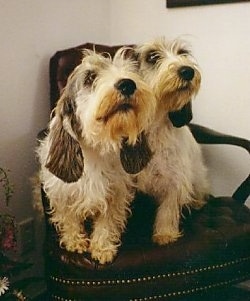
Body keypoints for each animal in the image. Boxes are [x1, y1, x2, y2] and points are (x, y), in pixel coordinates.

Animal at [37, 47, 155, 262]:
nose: (128, 84)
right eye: (90, 77)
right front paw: (74, 241)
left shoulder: (115, 194)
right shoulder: (61, 192)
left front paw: (102, 248)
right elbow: (68, 218)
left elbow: (107, 222)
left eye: (130, 70)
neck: (96, 150)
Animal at [134, 37, 210, 244]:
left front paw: (165, 234)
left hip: (198, 175)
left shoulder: (175, 180)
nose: (188, 71)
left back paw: (197, 201)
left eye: (183, 53)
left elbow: (168, 210)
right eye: (152, 56)